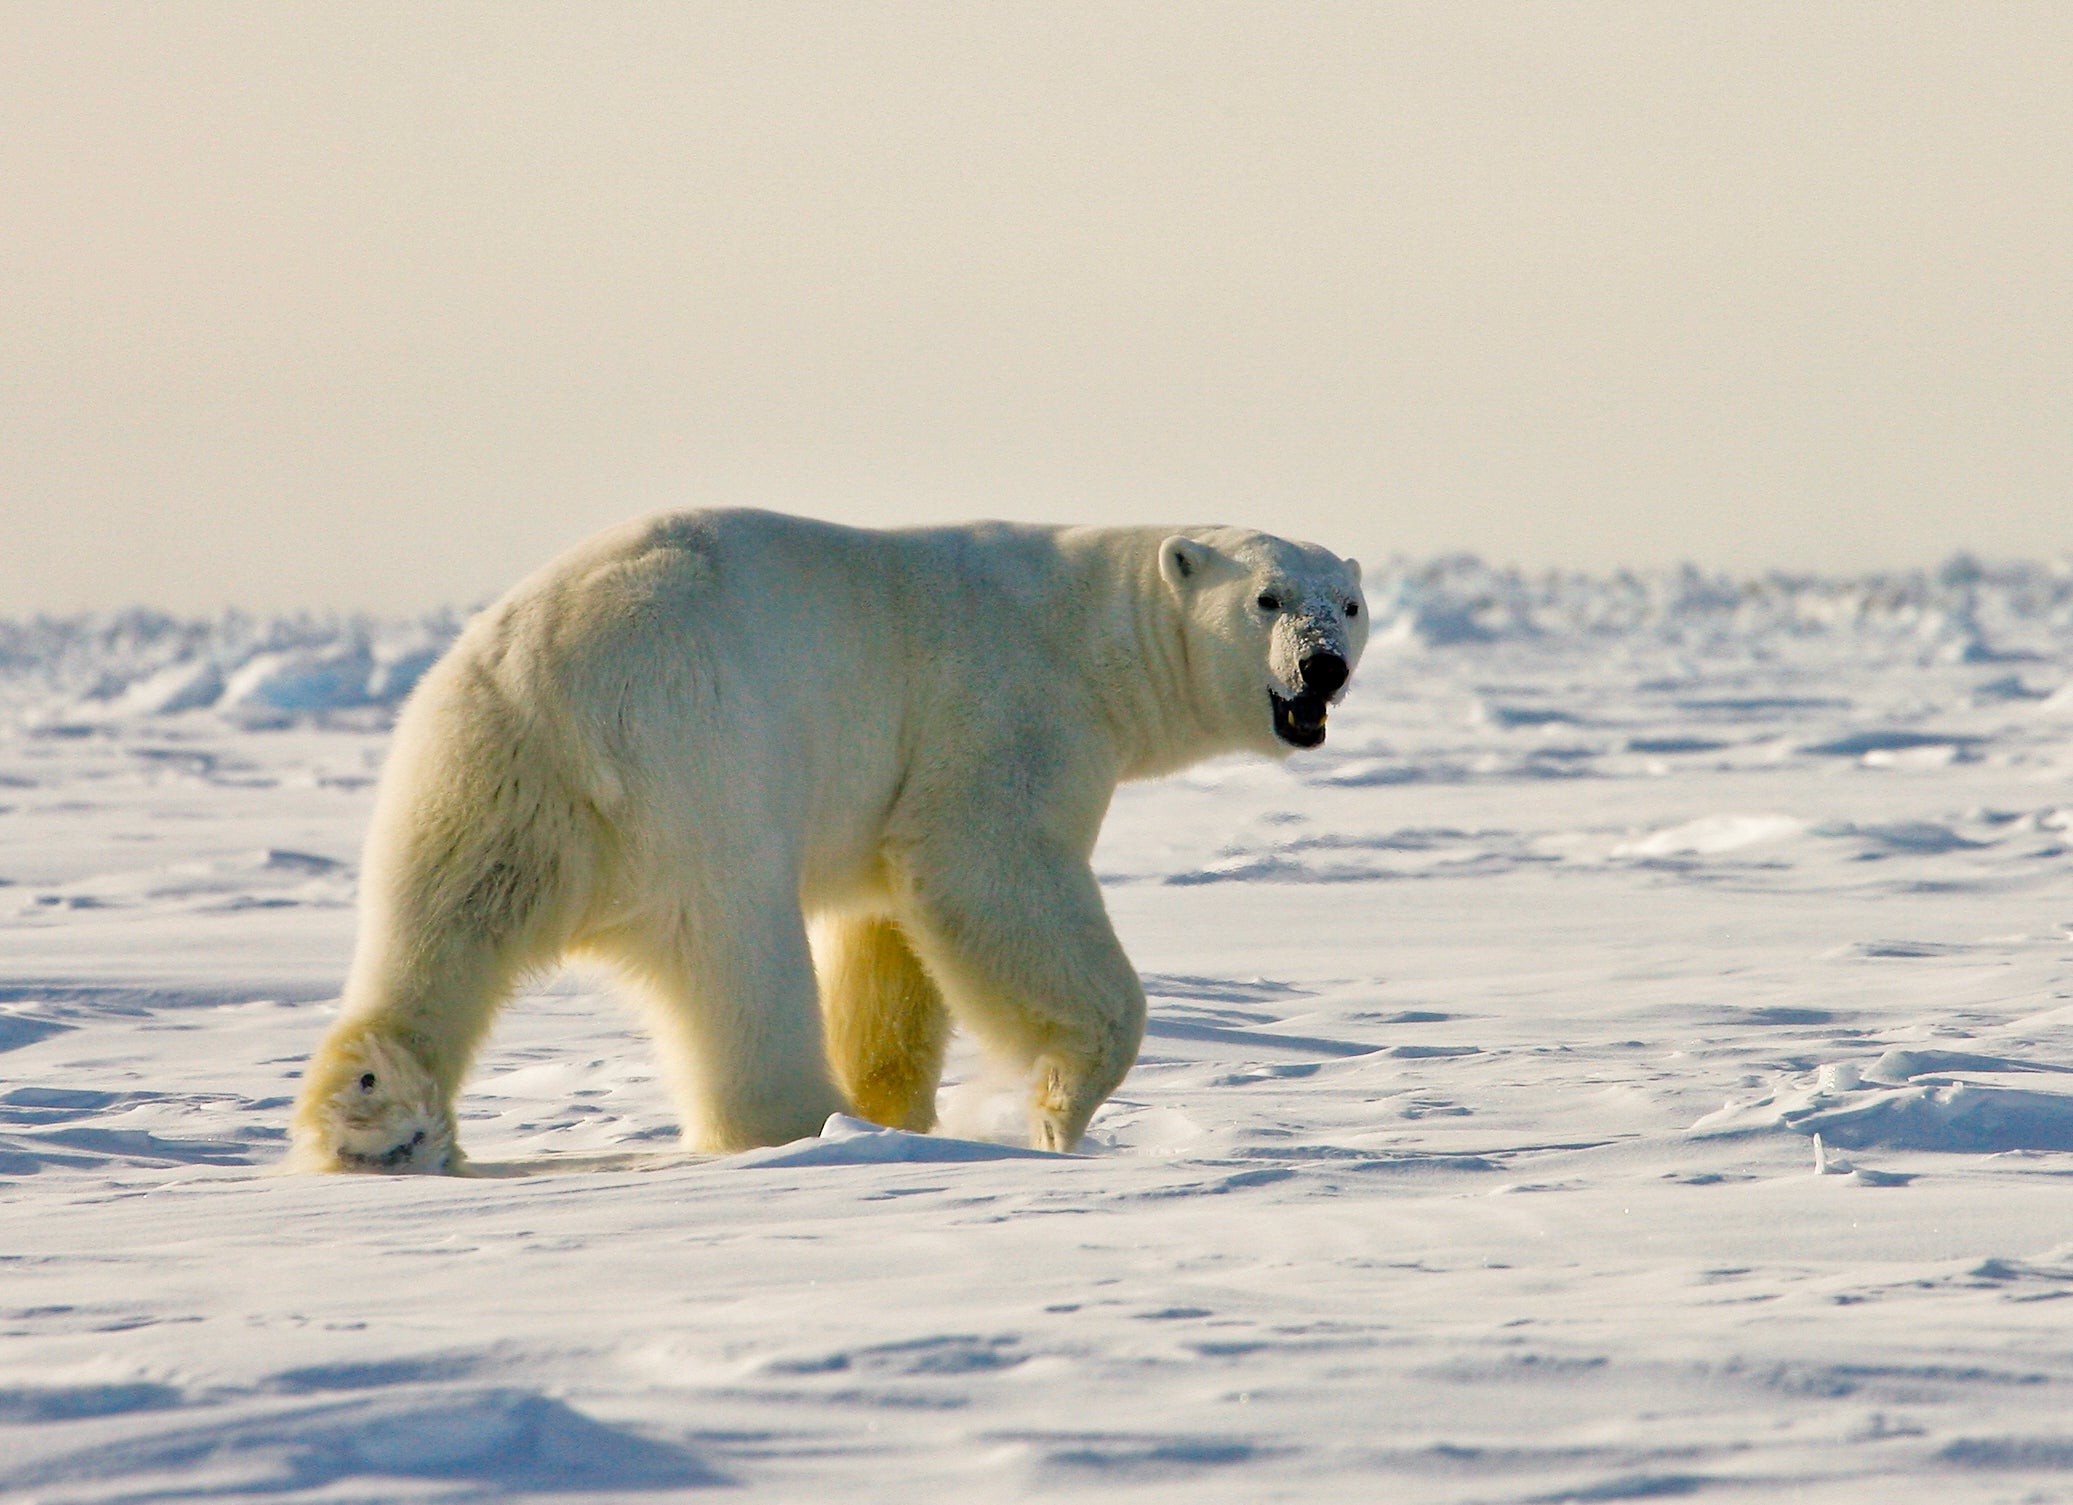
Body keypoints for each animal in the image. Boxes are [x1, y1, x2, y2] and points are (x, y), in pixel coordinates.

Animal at [288, 509, 1366, 1172]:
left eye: (1348, 602)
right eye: (1268, 598)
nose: (1324, 665)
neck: (1089, 625)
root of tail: (549, 674)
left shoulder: (891, 795)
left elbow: (893, 934)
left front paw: (896, 1108)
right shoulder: (1004, 711)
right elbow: (994, 869)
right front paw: (1060, 1104)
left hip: (477, 769)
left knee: (441, 928)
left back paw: (379, 1115)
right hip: (698, 755)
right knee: (736, 953)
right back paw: (796, 1121)